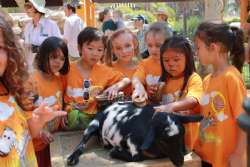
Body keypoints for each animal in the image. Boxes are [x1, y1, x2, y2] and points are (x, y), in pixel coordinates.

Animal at [67, 102, 203, 166]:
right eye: (163, 140)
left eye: (182, 136)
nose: (180, 162)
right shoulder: (131, 141)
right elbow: (137, 157)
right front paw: (115, 151)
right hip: (93, 124)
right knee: (82, 142)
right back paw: (72, 158)